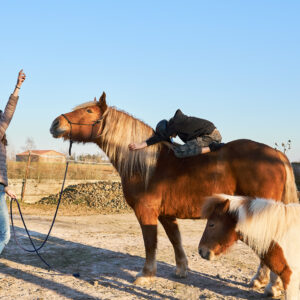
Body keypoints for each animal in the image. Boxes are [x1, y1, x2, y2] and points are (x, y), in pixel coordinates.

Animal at [49, 93, 298, 286]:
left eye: (89, 111)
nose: (55, 123)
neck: (146, 163)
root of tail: (277, 155)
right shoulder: (167, 214)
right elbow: (175, 239)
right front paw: (181, 270)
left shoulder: (146, 212)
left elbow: (151, 243)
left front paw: (146, 275)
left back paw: (262, 281)